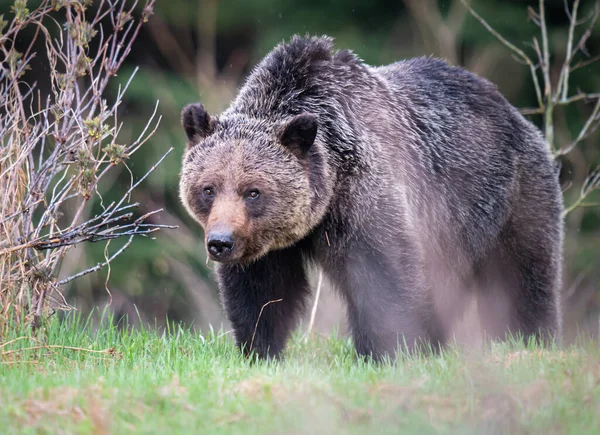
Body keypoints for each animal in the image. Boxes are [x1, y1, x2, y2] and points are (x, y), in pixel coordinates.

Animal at [178, 35, 564, 362]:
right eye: (208, 188)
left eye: (253, 191)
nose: (220, 242)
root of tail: (514, 112)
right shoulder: (267, 245)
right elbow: (262, 290)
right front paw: (260, 348)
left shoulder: (363, 198)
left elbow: (384, 276)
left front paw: (389, 350)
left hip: (508, 197)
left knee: (522, 274)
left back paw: (528, 339)